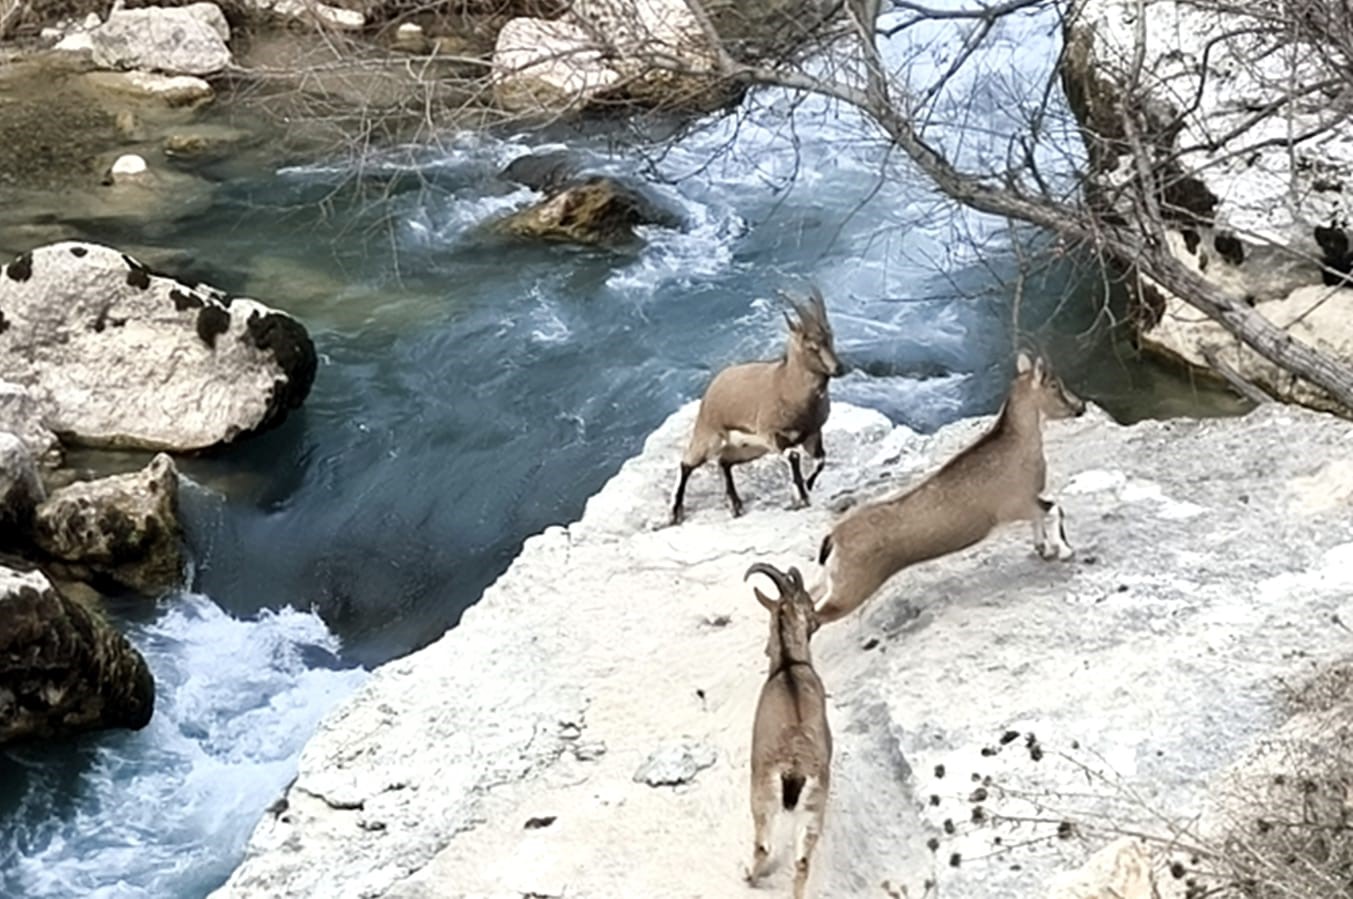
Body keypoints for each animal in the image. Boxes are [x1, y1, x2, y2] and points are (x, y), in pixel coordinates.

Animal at [668, 288, 838, 528]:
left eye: (832, 339)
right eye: (811, 346)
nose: (839, 367)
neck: (787, 386)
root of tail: (713, 386)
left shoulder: (813, 433)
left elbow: (820, 460)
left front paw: (805, 488)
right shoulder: (771, 434)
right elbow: (793, 457)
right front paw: (802, 497)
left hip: (748, 448)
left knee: (724, 462)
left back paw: (735, 505)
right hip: (710, 436)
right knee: (687, 463)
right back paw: (675, 512)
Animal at [746, 565, 828, 893]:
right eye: (808, 603)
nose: (817, 621)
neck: (790, 666)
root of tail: (794, 770)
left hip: (764, 800)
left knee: (764, 847)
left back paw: (750, 878)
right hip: (811, 811)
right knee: (801, 863)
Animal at [806, 352, 1082, 625]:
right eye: (1054, 385)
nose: (1080, 407)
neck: (1017, 444)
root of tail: (834, 538)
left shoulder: (1029, 499)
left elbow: (1041, 517)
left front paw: (1043, 547)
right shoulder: (1016, 504)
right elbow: (1054, 509)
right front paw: (1065, 550)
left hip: (828, 579)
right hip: (851, 588)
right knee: (817, 615)